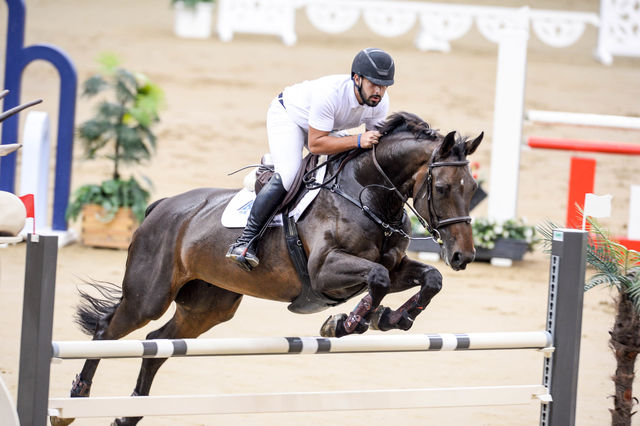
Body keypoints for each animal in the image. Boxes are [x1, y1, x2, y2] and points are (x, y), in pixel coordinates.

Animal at [53, 112, 480, 426]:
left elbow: (428, 279)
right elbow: (374, 279)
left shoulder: (394, 267)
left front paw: (391, 318)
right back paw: (75, 401)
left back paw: (129, 414)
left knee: (158, 345)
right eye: (442, 187)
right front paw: (344, 324)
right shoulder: (326, 271)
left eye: (472, 188)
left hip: (209, 306)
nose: (463, 256)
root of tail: (160, 207)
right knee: (109, 331)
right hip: (150, 296)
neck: (366, 193)